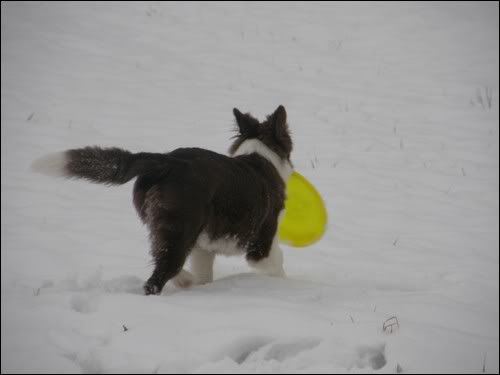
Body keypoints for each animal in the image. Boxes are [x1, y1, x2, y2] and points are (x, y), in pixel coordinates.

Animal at [32, 106, 292, 296]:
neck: (260, 155)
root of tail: (166, 161)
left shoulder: (204, 247)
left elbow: (204, 272)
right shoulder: (261, 243)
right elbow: (277, 265)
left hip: (166, 226)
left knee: (161, 257)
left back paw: (185, 281)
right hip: (180, 228)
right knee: (157, 276)